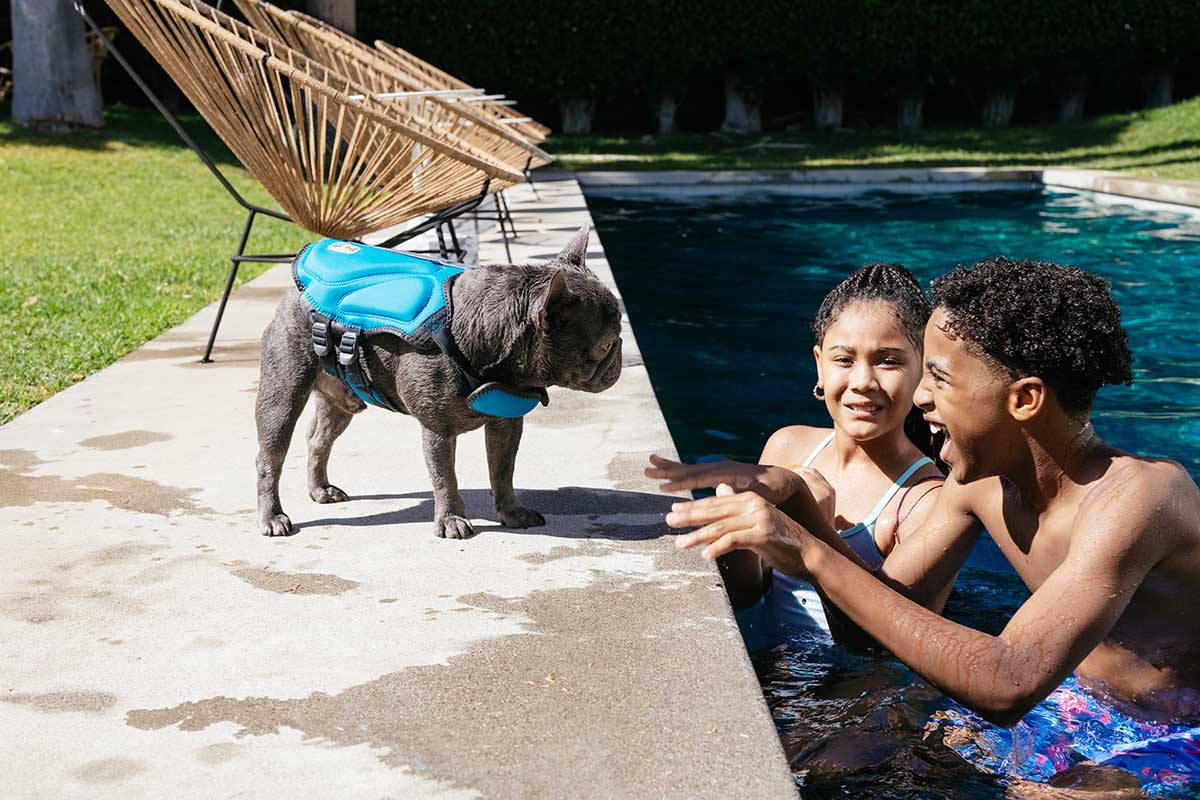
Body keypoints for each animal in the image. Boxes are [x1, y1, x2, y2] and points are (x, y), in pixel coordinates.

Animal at [255, 225, 628, 537]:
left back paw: (320, 488)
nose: (620, 352)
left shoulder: (506, 424)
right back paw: (272, 516)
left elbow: (503, 470)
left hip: (341, 400)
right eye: (605, 345)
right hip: (283, 393)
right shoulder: (437, 429)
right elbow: (445, 476)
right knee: (270, 456)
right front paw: (451, 519)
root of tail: (296, 290)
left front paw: (511, 512)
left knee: (319, 440)